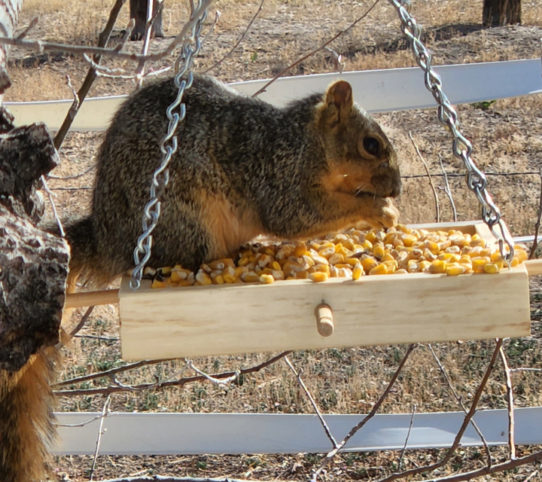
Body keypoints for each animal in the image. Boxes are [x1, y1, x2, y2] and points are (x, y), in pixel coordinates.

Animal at [66, 74, 402, 286]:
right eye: (370, 145)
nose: (397, 189)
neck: (303, 142)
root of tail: (107, 241)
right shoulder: (276, 174)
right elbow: (296, 216)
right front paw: (379, 210)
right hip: (181, 218)